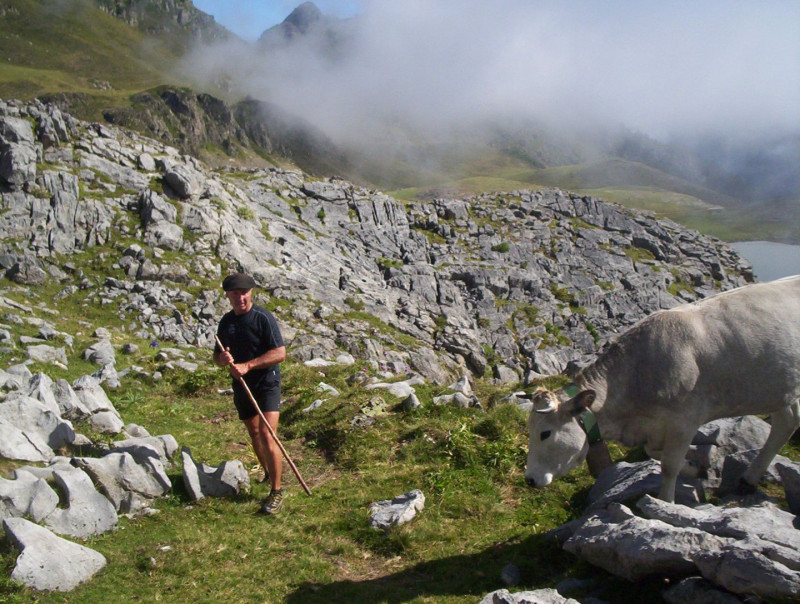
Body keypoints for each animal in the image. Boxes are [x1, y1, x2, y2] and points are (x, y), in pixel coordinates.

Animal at [524, 276, 800, 502]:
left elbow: (669, 465)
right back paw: (748, 480)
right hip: (783, 387)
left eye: (545, 433)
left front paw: (666, 502)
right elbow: (654, 452)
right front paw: (696, 466)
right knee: (786, 422)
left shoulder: (686, 419)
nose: (530, 479)